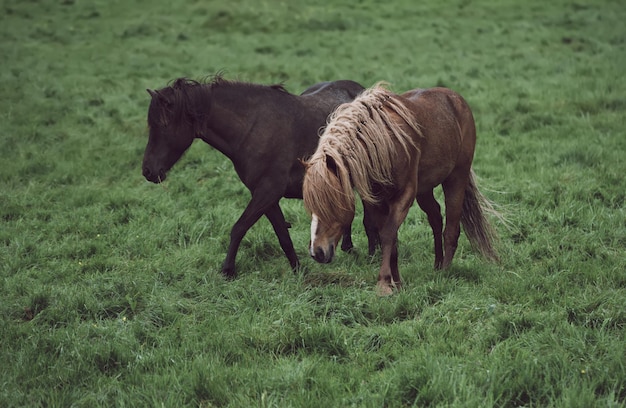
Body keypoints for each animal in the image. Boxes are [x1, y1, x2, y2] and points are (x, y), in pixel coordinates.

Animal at [142, 75, 378, 278]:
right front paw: (298, 269)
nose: (147, 171)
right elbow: (282, 235)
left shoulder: (267, 192)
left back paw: (372, 254)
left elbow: (238, 228)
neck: (253, 128)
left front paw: (228, 270)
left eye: (162, 125)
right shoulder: (266, 196)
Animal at [302, 83, 498, 294]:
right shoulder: (376, 201)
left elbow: (388, 235)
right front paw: (396, 282)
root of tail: (456, 99)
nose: (316, 252)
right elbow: (390, 237)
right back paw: (437, 265)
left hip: (456, 179)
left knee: (451, 229)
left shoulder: (404, 196)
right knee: (436, 218)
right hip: (425, 190)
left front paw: (384, 283)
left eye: (331, 204)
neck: (383, 145)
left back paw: (445, 271)